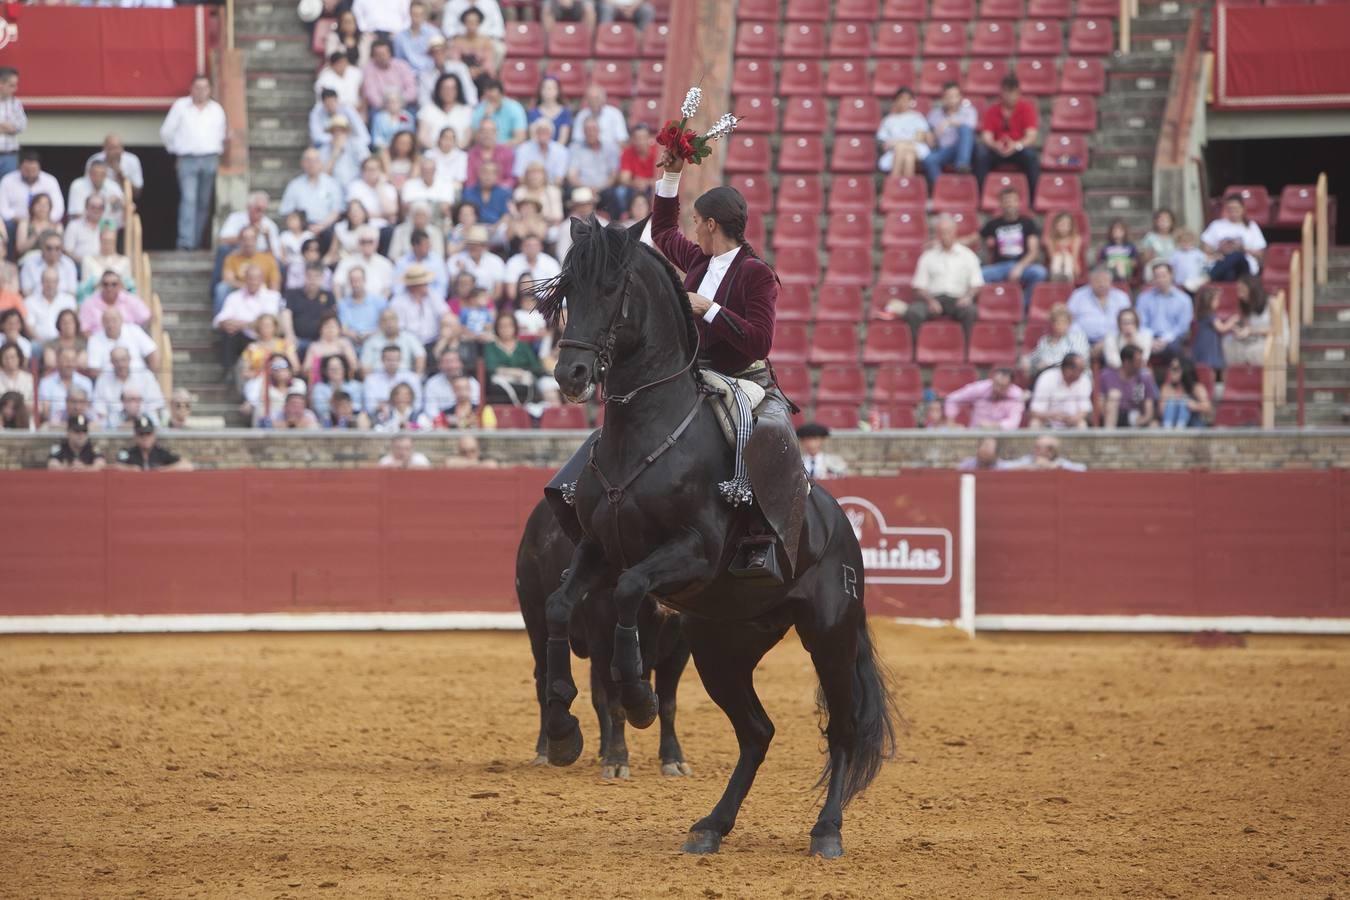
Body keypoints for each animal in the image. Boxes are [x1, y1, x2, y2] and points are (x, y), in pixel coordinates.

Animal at [510, 499, 691, 782]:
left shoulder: (680, 648)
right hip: (536, 624)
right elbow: (617, 706)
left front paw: (673, 760)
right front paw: (617, 762)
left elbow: (668, 705)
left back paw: (603, 749)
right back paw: (545, 751)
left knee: (598, 697)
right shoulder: (603, 645)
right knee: (543, 682)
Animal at [531, 218, 901, 858]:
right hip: (723, 646)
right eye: (568, 288)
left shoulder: (692, 554)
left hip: (829, 633)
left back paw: (826, 831)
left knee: (844, 728)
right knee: (757, 732)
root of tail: (837, 525)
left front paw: (637, 695)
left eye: (611, 287)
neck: (646, 430)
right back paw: (711, 824)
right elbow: (560, 603)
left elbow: (631, 592)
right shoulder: (599, 551)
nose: (569, 375)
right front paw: (561, 728)